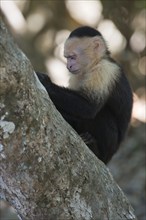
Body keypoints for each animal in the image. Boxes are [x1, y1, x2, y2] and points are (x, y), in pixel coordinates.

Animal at [36, 26, 132, 163]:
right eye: (67, 58)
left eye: (72, 57)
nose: (68, 66)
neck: (95, 63)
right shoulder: (76, 76)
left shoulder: (104, 71)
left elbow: (88, 107)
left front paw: (46, 82)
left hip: (109, 151)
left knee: (101, 114)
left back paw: (94, 149)